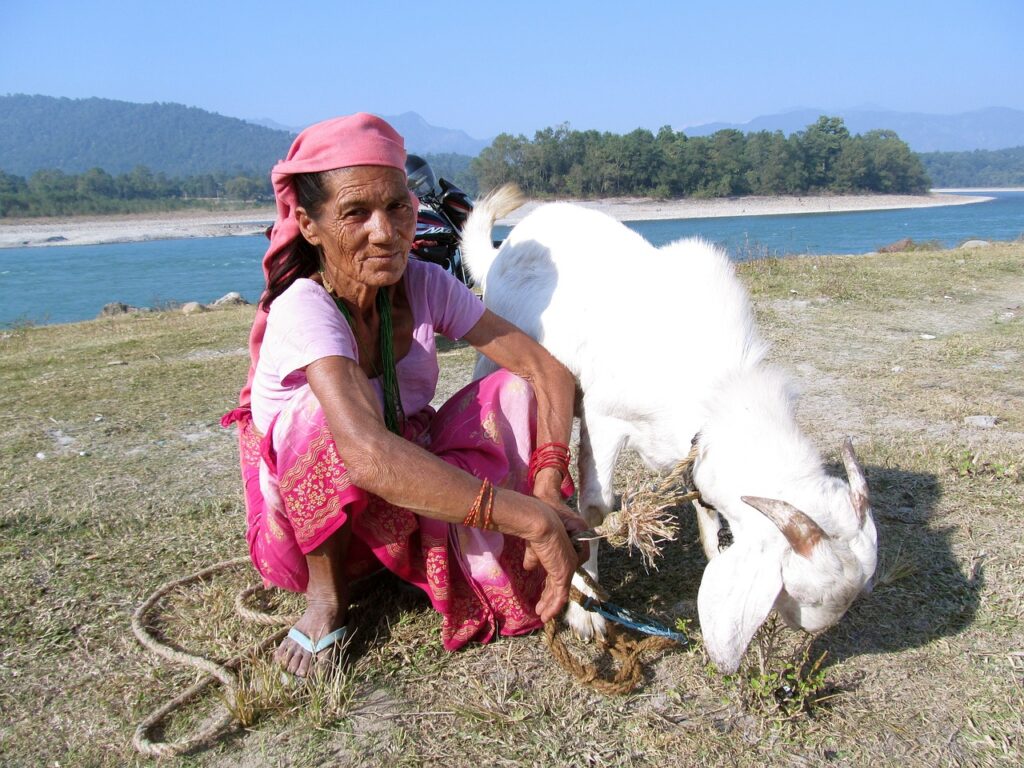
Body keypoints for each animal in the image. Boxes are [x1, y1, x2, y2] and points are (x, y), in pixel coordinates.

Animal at [464, 186, 880, 671]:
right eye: (798, 590)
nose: (811, 629)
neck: (715, 380)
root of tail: (499, 252)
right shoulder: (603, 417)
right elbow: (595, 509)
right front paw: (586, 609)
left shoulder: (693, 449)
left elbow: (706, 509)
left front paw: (714, 552)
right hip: (494, 351)